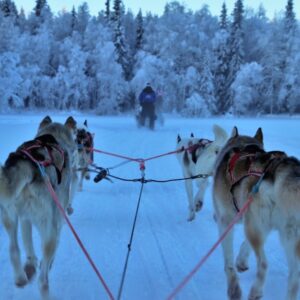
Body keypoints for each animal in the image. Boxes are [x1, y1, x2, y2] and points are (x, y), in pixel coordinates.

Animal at [0, 116, 77, 296]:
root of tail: (29, 164)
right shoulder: (58, 220)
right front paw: (43, 264)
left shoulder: (24, 218)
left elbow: (27, 244)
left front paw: (30, 264)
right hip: (49, 228)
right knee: (43, 281)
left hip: (9, 217)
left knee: (13, 250)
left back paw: (21, 278)